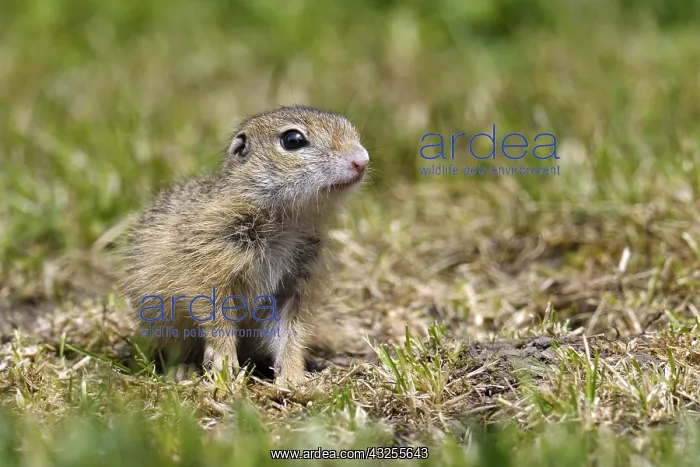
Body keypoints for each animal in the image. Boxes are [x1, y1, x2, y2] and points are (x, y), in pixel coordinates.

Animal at [119, 105, 370, 386]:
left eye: (350, 128)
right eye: (293, 140)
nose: (362, 160)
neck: (290, 221)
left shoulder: (293, 286)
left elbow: (289, 333)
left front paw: (293, 377)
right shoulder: (210, 267)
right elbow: (215, 317)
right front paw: (225, 367)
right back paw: (183, 369)